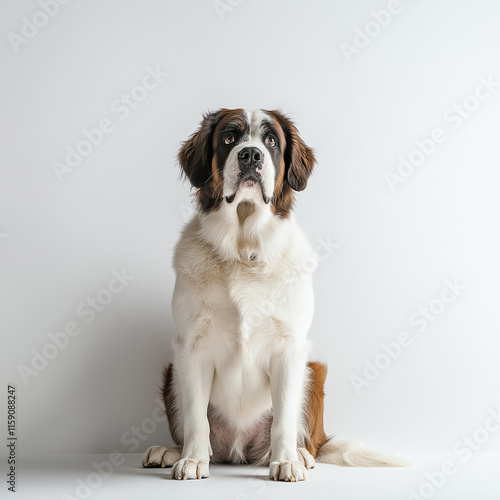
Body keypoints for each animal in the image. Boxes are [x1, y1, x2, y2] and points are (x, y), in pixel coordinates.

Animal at [140, 108, 406, 480]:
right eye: (229, 138)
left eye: (270, 141)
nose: (251, 155)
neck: (243, 252)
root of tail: (237, 450)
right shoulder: (190, 348)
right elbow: (195, 417)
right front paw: (192, 460)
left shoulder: (290, 348)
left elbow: (283, 418)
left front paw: (285, 462)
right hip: (171, 373)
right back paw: (171, 451)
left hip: (312, 372)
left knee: (305, 437)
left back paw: (300, 454)